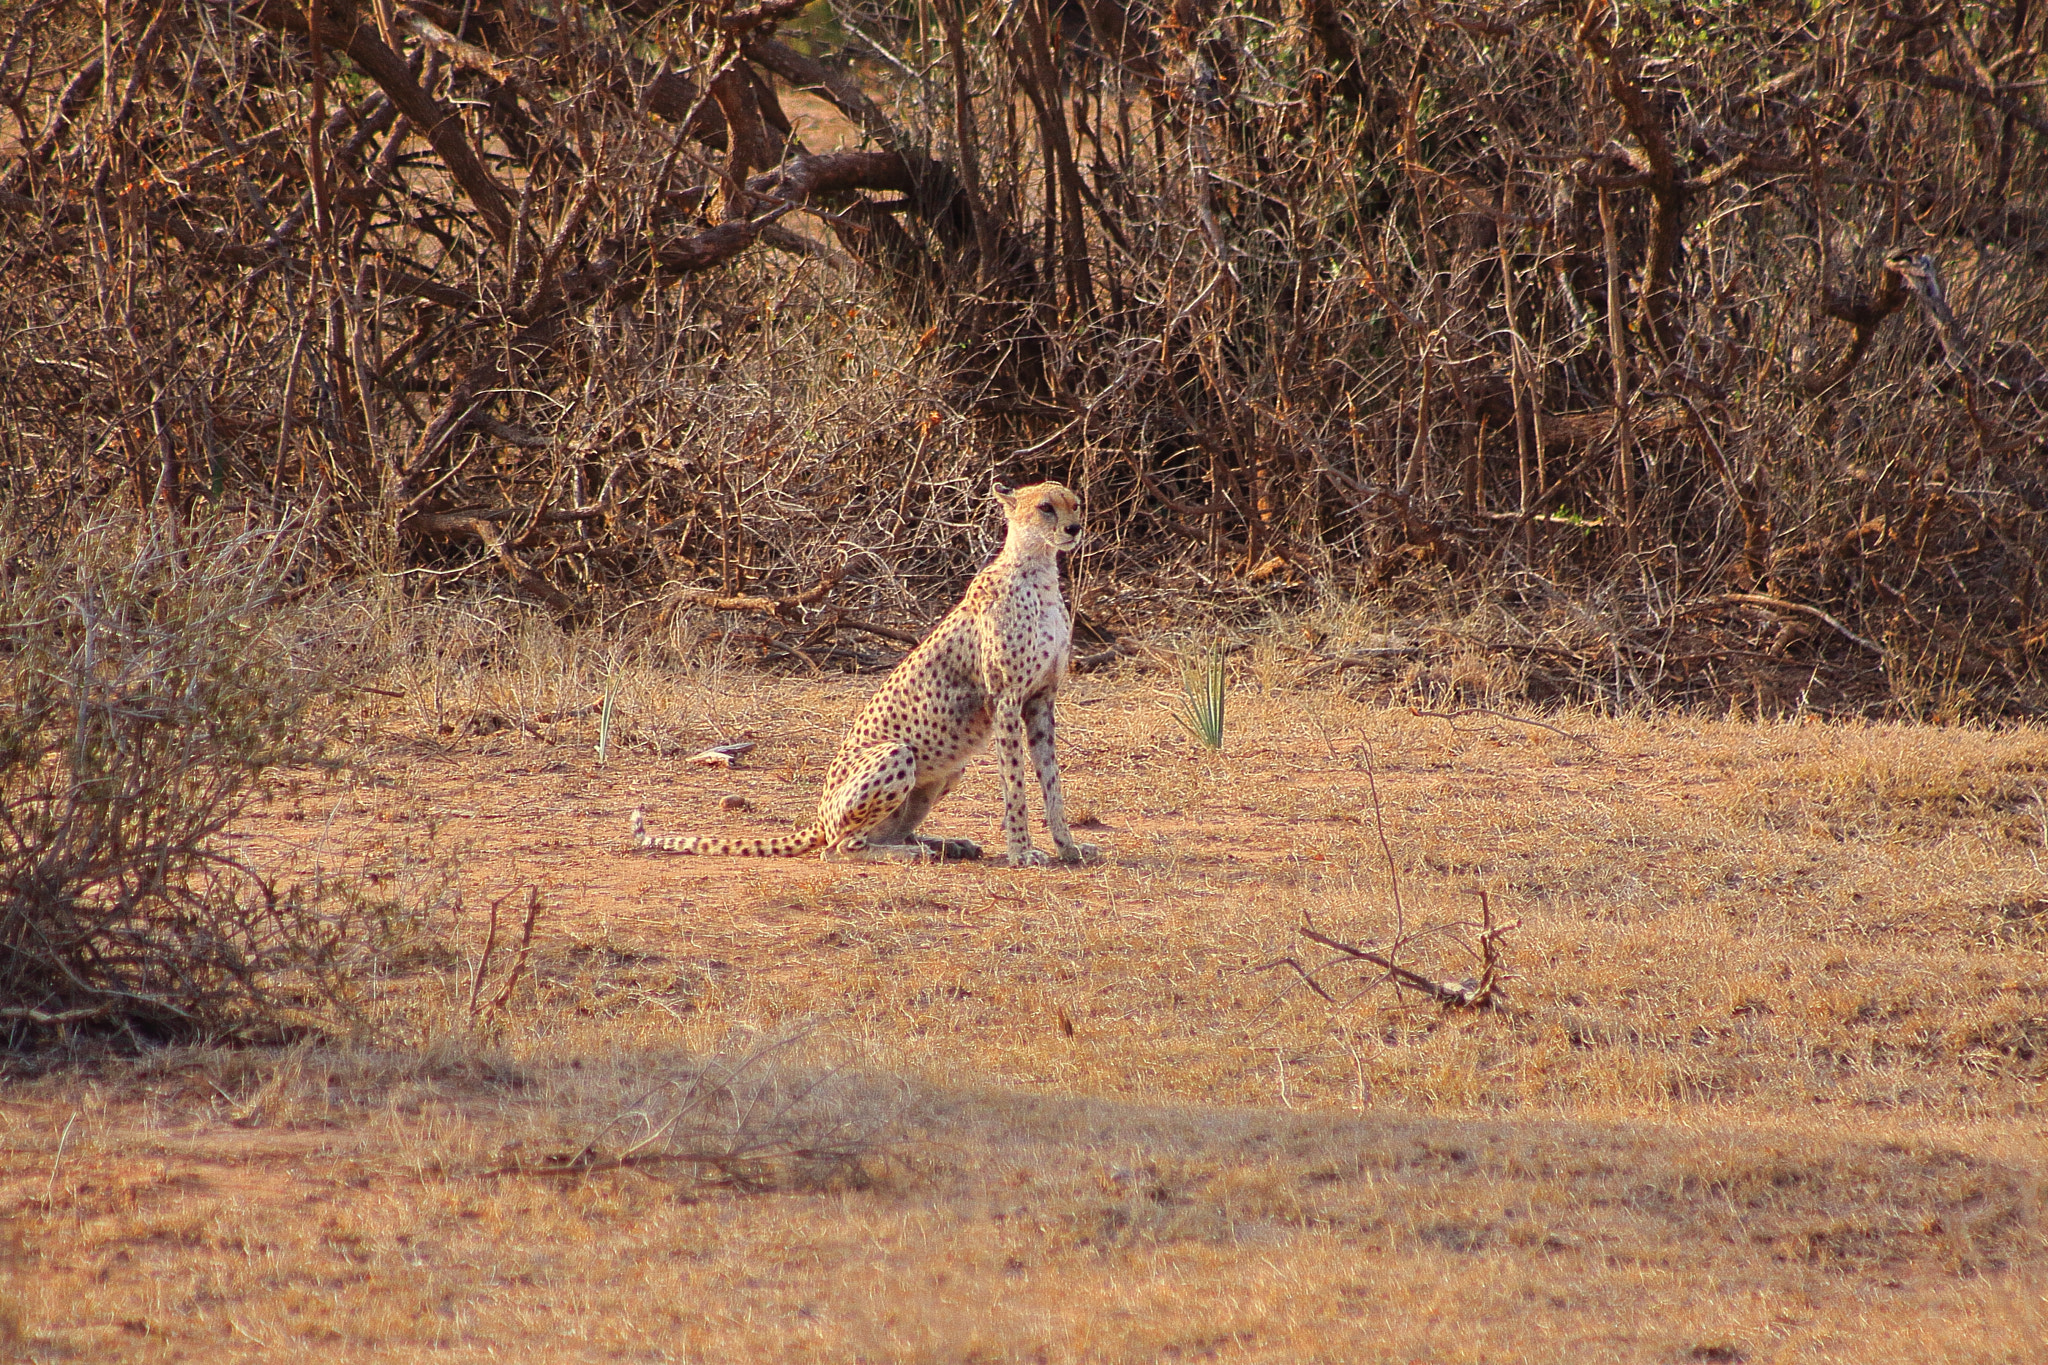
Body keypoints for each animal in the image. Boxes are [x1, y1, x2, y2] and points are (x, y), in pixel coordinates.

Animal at [630, 480, 1105, 863]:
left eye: (1076, 504)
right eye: (1046, 507)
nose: (1074, 529)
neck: (1039, 571)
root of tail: (818, 816)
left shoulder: (1040, 700)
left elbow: (1051, 783)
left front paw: (1068, 848)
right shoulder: (1005, 700)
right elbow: (1016, 785)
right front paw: (1022, 852)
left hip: (950, 769)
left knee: (887, 833)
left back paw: (945, 845)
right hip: (897, 754)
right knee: (841, 848)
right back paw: (912, 854)